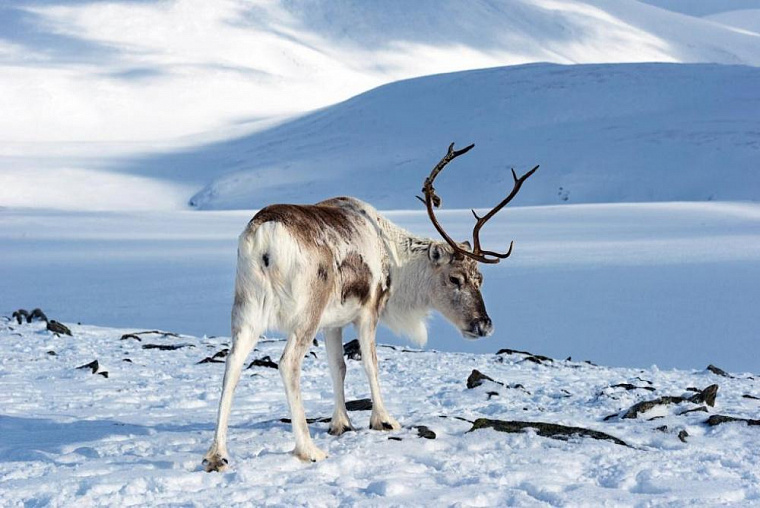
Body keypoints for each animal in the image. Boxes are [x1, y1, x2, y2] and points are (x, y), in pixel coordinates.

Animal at [202, 143, 538, 472]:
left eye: (480, 278)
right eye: (455, 278)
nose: (484, 324)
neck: (396, 260)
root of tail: (265, 238)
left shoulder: (333, 322)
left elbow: (338, 367)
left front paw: (341, 423)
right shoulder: (368, 311)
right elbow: (371, 364)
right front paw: (384, 420)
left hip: (246, 309)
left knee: (232, 364)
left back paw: (217, 454)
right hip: (306, 312)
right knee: (287, 363)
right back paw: (308, 449)